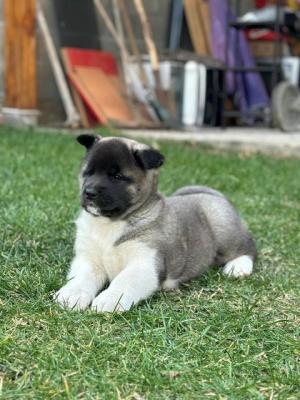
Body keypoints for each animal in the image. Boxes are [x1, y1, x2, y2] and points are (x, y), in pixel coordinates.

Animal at [55, 134, 256, 312]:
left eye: (117, 176)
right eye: (88, 172)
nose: (89, 192)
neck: (110, 223)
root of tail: (214, 194)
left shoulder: (145, 264)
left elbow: (124, 281)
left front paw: (109, 299)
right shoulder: (88, 259)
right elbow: (81, 278)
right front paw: (71, 295)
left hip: (223, 230)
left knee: (249, 247)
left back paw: (238, 267)